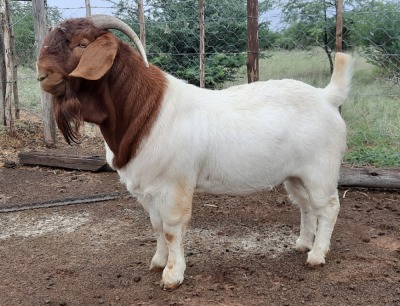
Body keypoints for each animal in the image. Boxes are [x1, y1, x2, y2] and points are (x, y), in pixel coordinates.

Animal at [36, 15, 352, 290]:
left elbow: (171, 228)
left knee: (329, 207)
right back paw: (303, 243)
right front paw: (158, 262)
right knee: (306, 205)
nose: (41, 74)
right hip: (295, 175)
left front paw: (172, 275)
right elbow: (155, 225)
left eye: (82, 44)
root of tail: (326, 97)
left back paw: (317, 255)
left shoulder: (174, 185)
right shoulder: (147, 189)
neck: (146, 111)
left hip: (320, 170)